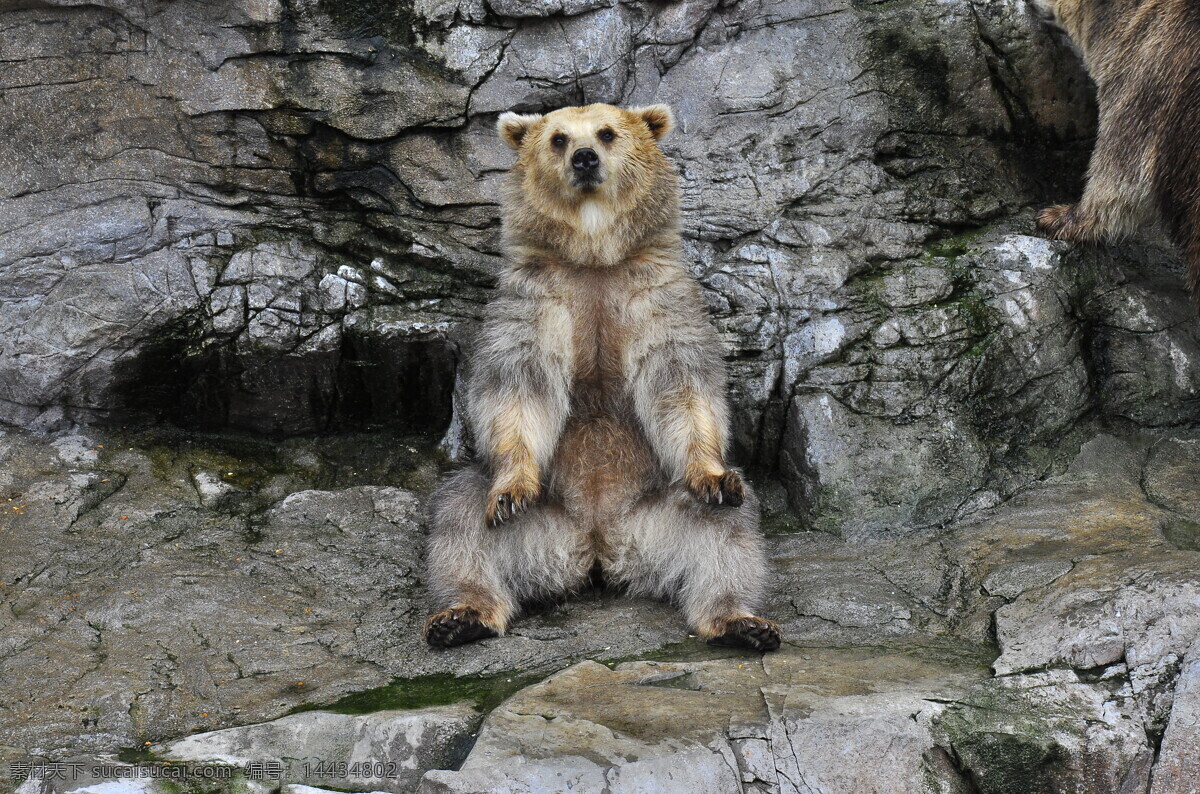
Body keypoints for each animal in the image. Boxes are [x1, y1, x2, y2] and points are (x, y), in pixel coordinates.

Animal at [422, 103, 781, 652]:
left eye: (607, 132)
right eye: (558, 138)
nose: (585, 157)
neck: (594, 258)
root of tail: (598, 547)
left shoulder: (654, 293)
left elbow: (682, 382)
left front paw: (713, 473)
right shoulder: (536, 296)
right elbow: (517, 387)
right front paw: (511, 491)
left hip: (658, 513)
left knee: (729, 536)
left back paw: (741, 621)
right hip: (545, 516)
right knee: (460, 521)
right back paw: (461, 615)